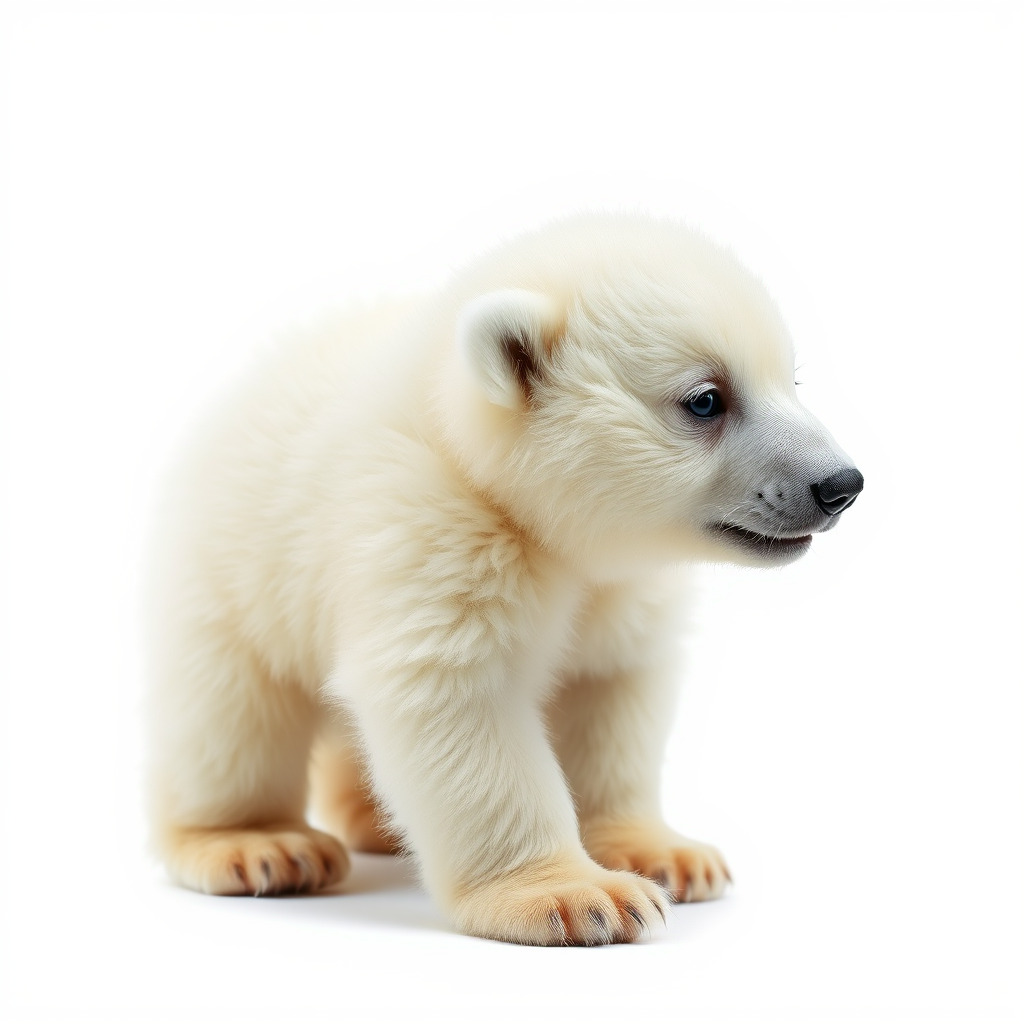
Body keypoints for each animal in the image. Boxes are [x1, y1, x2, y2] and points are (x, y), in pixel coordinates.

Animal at [146, 213, 862, 946]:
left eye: (791, 381)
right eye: (706, 398)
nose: (839, 484)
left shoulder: (617, 587)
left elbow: (611, 693)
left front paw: (667, 855)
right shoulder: (432, 529)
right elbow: (458, 699)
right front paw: (580, 897)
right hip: (233, 569)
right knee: (232, 713)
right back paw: (261, 844)